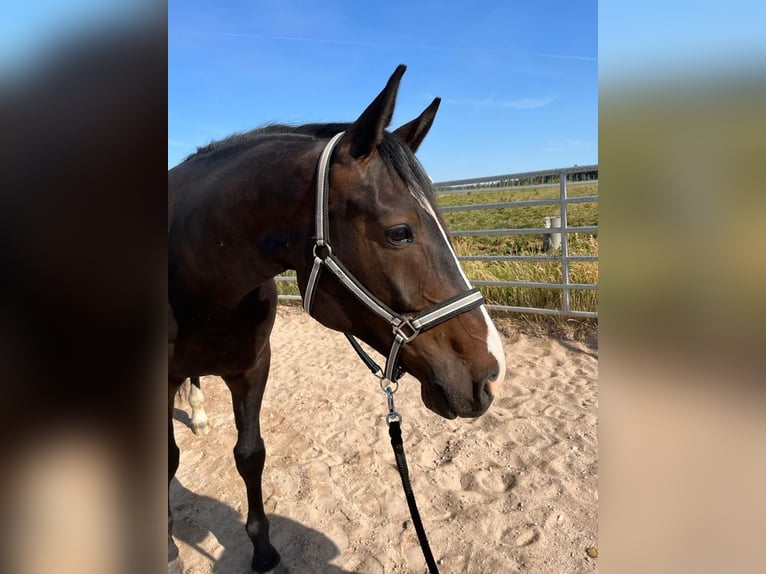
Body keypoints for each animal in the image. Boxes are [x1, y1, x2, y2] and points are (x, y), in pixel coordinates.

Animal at [170, 65, 510, 572]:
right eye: (399, 232)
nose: (490, 374)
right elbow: (168, 461)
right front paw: (170, 549)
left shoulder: (253, 368)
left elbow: (250, 454)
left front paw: (263, 550)